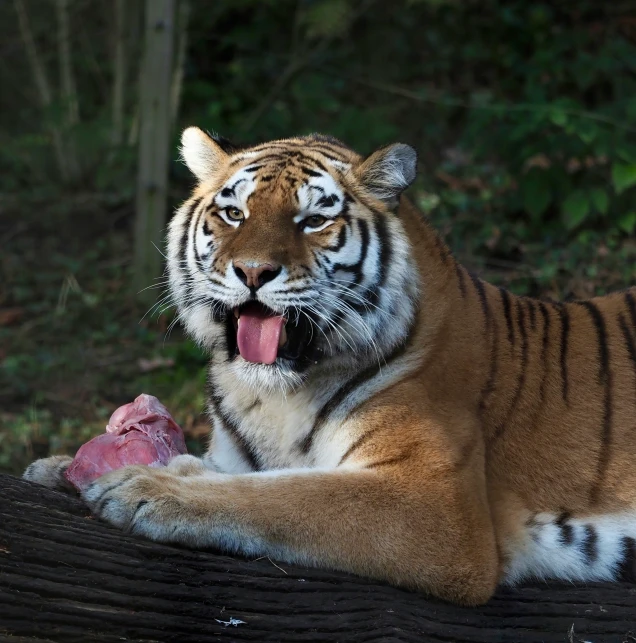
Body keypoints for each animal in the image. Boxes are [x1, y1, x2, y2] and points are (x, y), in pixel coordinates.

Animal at [24, 128, 636, 608]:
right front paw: (62, 466)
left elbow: (286, 496)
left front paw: (144, 486)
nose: (253, 271)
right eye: (233, 213)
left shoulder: (437, 504)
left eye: (314, 220)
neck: (271, 395)